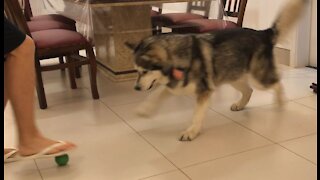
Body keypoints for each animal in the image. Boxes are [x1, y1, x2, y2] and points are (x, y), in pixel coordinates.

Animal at [125, 0, 310, 141]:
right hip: (233, 75)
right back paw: (240, 105)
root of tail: (262, 33)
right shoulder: (175, 85)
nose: (136, 88)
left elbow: (197, 114)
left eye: (144, 71)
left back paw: (280, 101)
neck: (177, 58)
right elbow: (157, 95)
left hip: (258, 78)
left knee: (277, 82)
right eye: (136, 71)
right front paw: (145, 109)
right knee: (248, 90)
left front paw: (191, 131)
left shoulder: (204, 91)